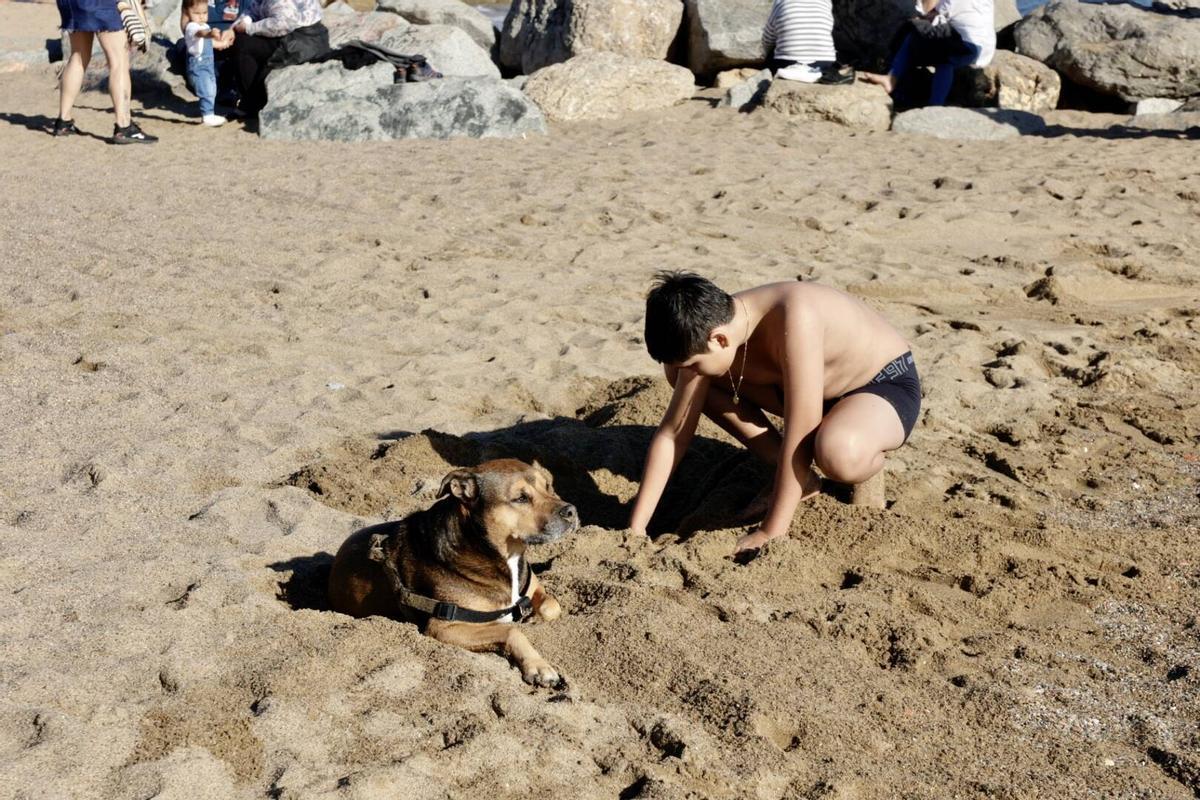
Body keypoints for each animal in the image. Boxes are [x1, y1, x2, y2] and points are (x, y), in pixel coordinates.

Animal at [326, 455, 573, 690]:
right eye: (521, 498)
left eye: (548, 486)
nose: (570, 510)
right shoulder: (444, 628)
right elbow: (511, 631)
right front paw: (539, 666)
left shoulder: (533, 587)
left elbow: (552, 606)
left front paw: (534, 619)